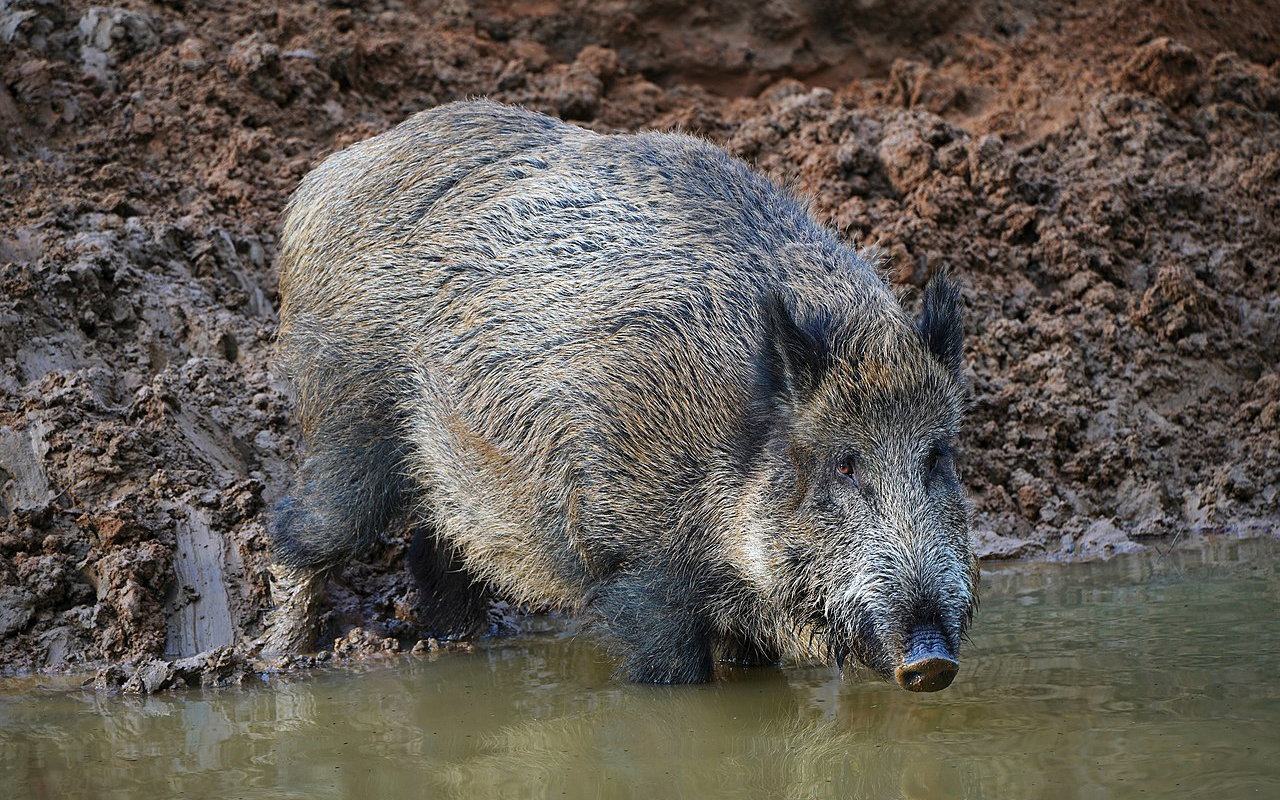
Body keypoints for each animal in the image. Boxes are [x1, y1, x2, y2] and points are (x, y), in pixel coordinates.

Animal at [264, 100, 977, 691]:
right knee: (300, 530)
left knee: (433, 551)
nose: (932, 662)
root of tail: (321, 182)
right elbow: (669, 674)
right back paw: (282, 661)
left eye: (938, 456)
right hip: (349, 413)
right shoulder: (639, 566)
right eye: (843, 464)